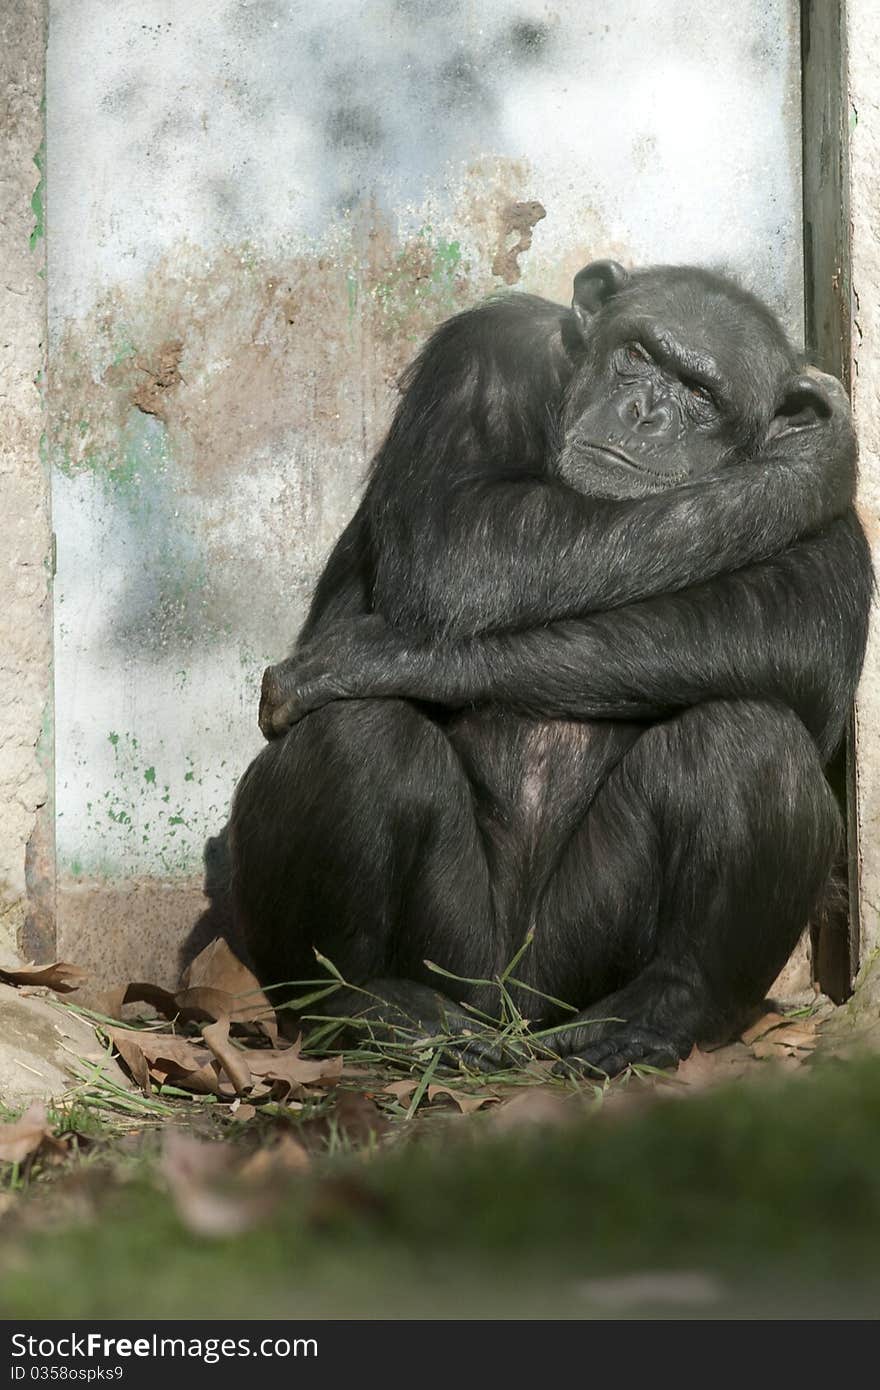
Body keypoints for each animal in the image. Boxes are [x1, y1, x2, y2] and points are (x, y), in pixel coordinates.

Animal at [226, 265, 873, 1078]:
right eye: (640, 354)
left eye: (702, 394)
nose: (646, 413)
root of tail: (513, 1014)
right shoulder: (483, 355)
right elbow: (460, 538)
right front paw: (811, 462)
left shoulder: (841, 544)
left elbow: (795, 645)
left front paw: (391, 656)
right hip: (457, 954)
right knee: (358, 735)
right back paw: (367, 1002)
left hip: (576, 954)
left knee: (749, 738)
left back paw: (660, 1010)